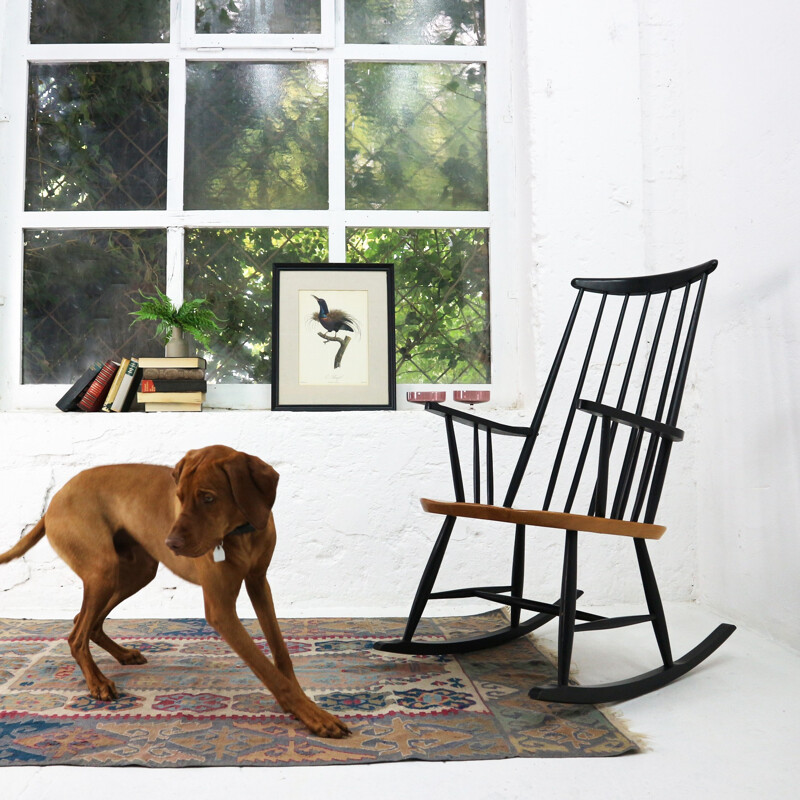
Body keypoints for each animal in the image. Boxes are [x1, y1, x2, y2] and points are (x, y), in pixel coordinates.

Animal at [0, 444, 350, 736]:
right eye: (179, 496)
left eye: (208, 498)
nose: (171, 543)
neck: (240, 533)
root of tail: (53, 501)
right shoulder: (221, 611)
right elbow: (265, 666)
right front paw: (312, 714)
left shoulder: (259, 583)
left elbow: (280, 653)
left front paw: (302, 700)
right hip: (104, 571)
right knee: (76, 634)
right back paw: (97, 682)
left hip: (136, 572)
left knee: (86, 623)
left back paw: (122, 654)